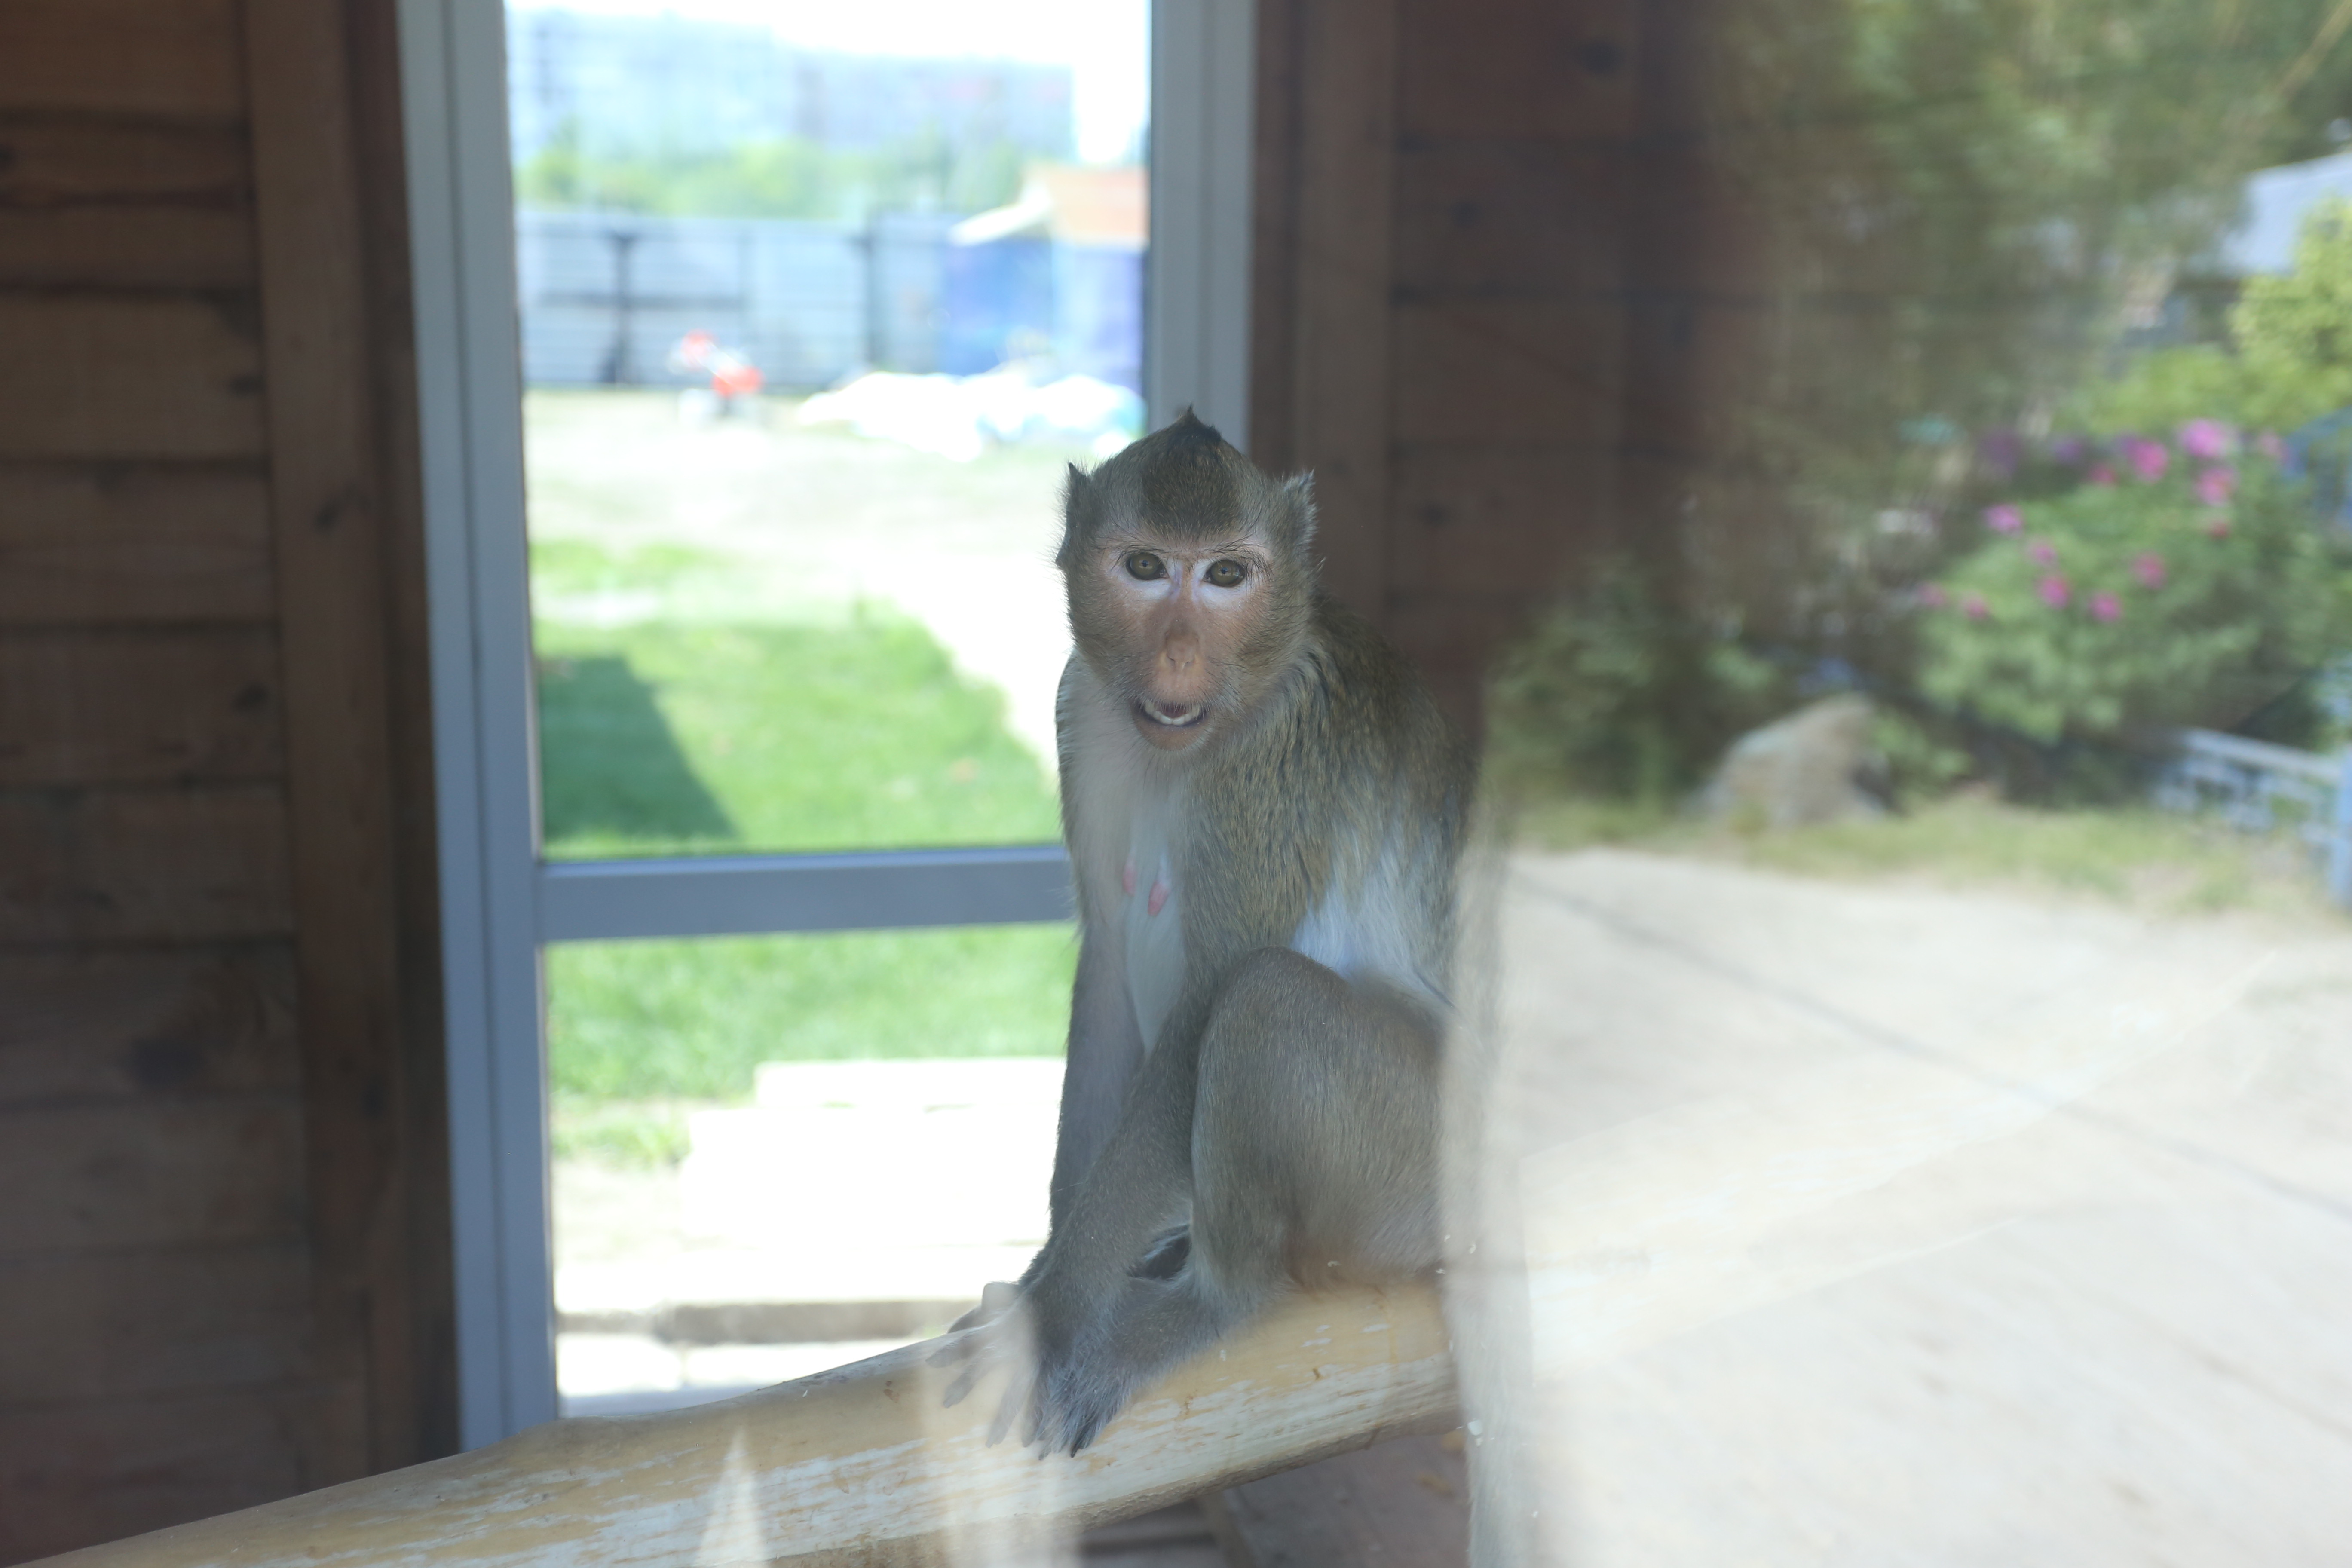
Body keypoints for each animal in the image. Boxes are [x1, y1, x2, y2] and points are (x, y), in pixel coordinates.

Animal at [931, 411, 1474, 1455]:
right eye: (1145, 567)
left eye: (1226, 575)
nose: (1180, 653)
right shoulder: (1080, 709)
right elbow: (1106, 965)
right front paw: (1039, 1283)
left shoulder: (1272, 763)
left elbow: (1199, 1018)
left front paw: (1055, 1312)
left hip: (1418, 1177)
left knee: (1265, 998)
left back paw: (1221, 1298)